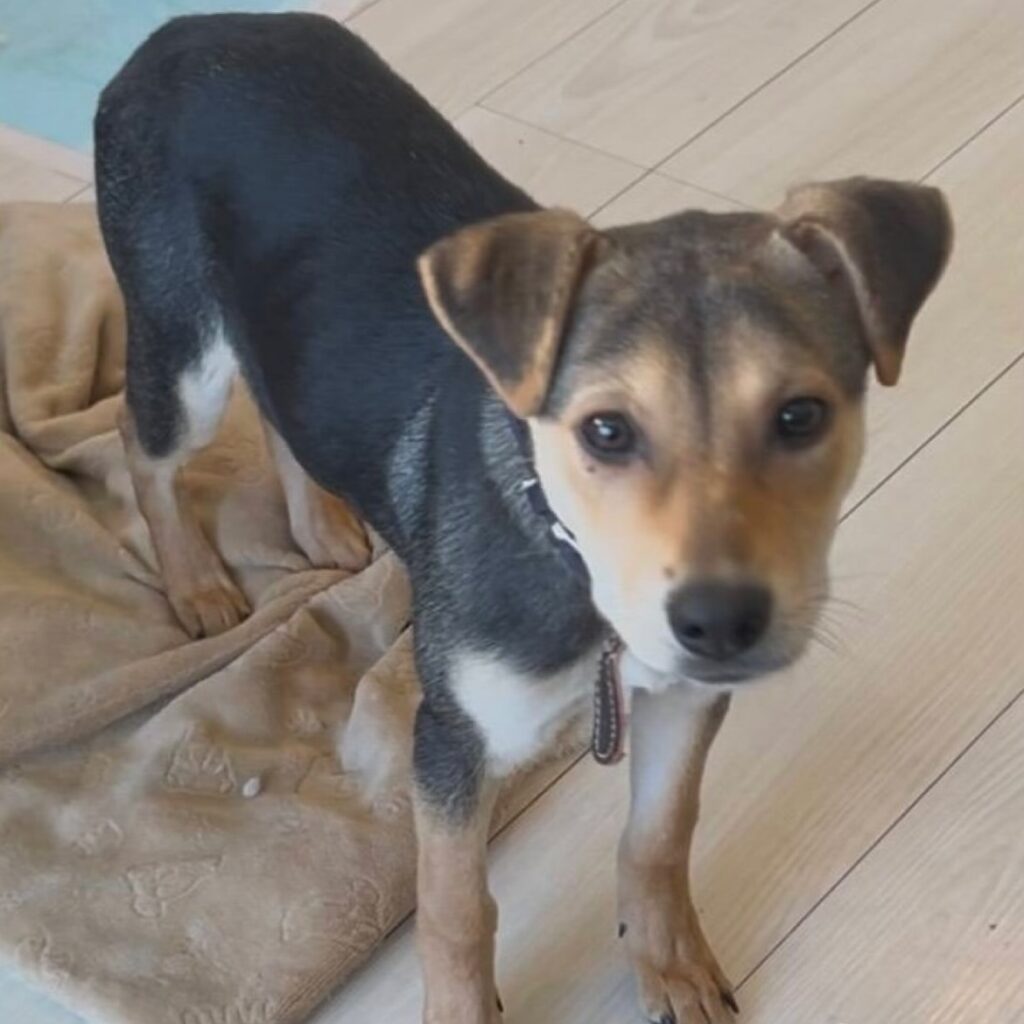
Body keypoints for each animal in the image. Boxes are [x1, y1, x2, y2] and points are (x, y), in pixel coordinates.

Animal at [94, 13, 952, 1023]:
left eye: (801, 416)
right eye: (606, 431)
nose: (720, 624)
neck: (569, 555)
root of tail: (185, 27)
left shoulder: (686, 697)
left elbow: (660, 836)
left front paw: (670, 967)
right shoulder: (452, 739)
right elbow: (457, 909)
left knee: (277, 398)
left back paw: (322, 524)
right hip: (180, 331)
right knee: (143, 441)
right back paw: (196, 584)